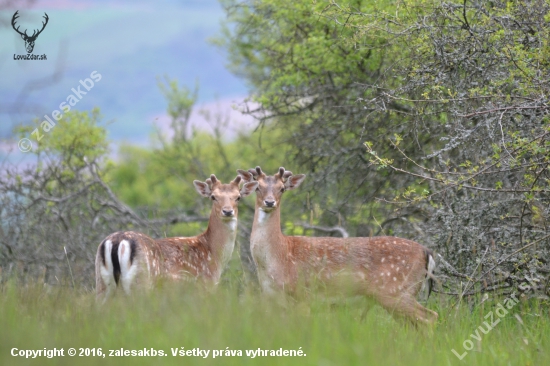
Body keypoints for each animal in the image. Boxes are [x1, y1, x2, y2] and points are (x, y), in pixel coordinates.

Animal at [95, 174, 258, 300]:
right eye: (213, 197)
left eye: (238, 197)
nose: (228, 211)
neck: (214, 255)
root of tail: (117, 242)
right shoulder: (205, 285)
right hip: (141, 282)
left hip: (102, 284)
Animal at [240, 167, 440, 324]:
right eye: (258, 187)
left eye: (282, 188)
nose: (269, 202)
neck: (277, 257)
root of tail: (427, 252)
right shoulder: (271, 298)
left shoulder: (303, 294)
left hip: (396, 291)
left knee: (430, 317)